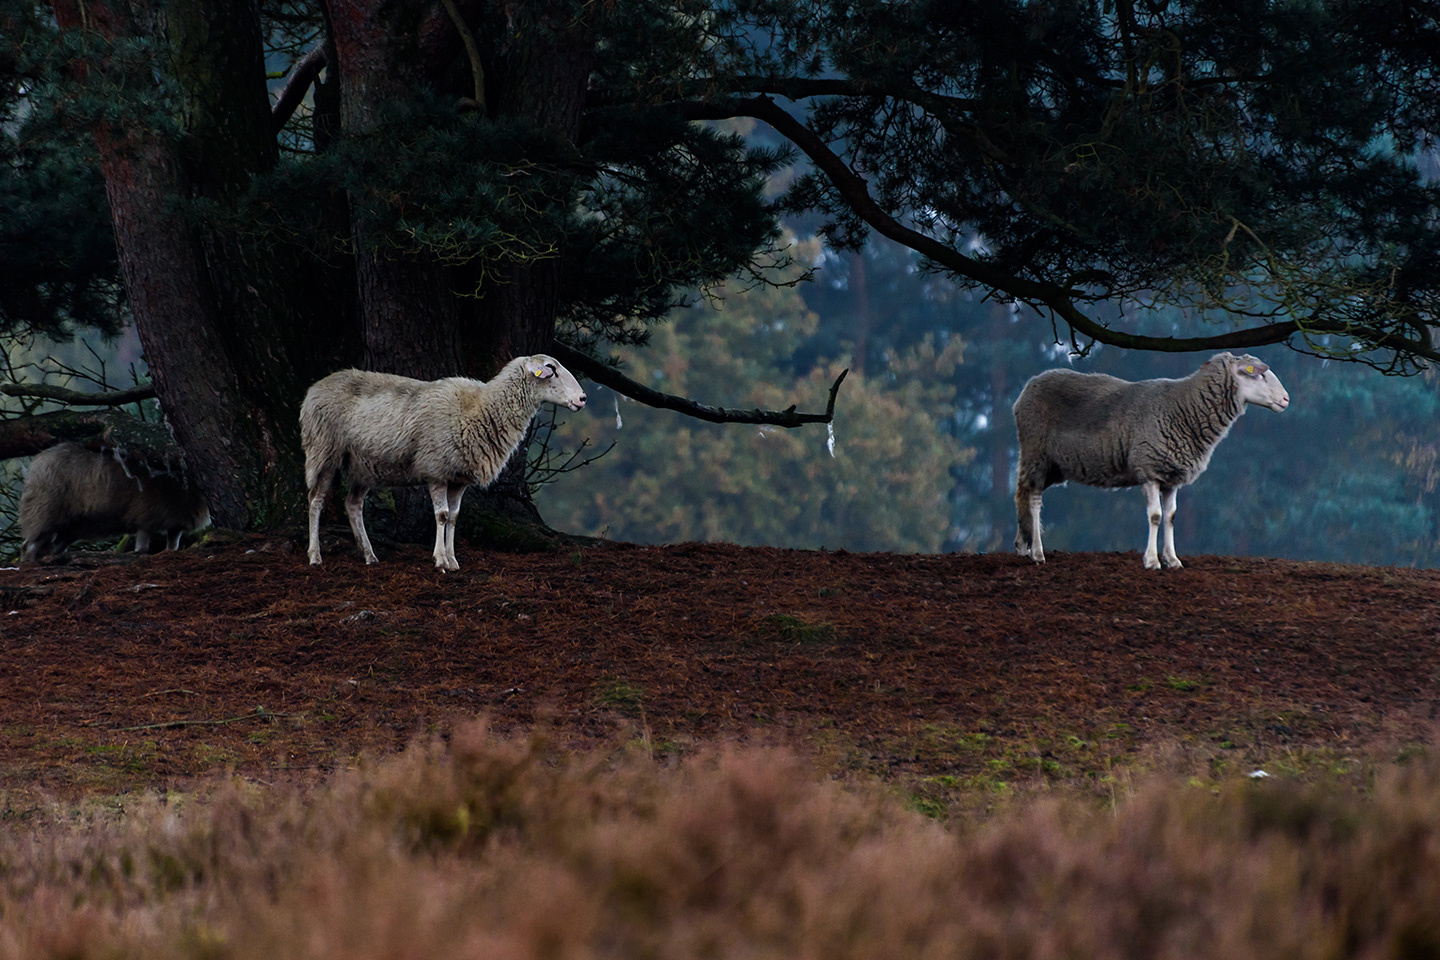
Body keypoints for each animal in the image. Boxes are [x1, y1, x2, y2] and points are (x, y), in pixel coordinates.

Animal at [20, 443, 210, 564]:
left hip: (70, 528)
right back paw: (28, 563)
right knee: (28, 545)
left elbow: (173, 546)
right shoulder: (144, 516)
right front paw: (138, 554)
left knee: (52, 547)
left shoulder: (175, 523)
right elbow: (142, 547)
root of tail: (37, 462)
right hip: (44, 511)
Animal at [300, 356, 587, 575]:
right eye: (551, 369)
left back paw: (369, 555)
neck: (481, 407)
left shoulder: (459, 478)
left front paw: (453, 559)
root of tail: (315, 388)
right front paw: (440, 561)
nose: (583, 398)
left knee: (352, 504)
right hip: (323, 451)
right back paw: (315, 555)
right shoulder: (436, 469)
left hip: (363, 465)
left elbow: (454, 516)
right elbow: (441, 515)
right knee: (316, 500)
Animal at [1013, 352, 1296, 567]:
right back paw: (1037, 553)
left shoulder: (1172, 476)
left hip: (1052, 465)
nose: (1286, 399)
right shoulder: (1149, 469)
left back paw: (1022, 546)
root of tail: (1027, 388)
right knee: (1034, 499)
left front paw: (1173, 560)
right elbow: (1156, 516)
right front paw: (1151, 561)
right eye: (1258, 374)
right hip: (1036, 453)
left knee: (1023, 495)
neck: (1184, 408)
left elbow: (1170, 517)